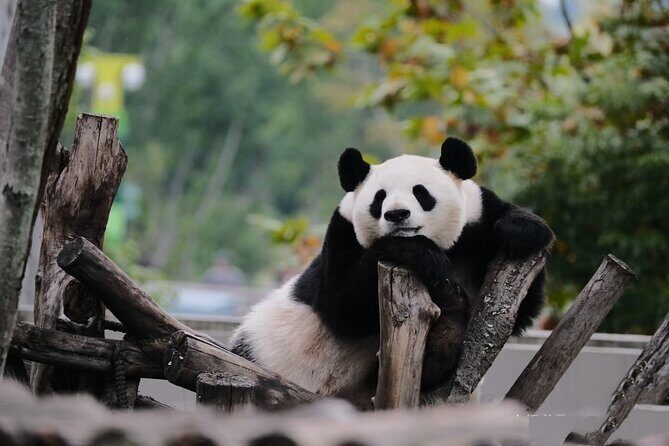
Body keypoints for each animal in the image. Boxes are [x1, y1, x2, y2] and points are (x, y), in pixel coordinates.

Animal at [231, 137, 553, 409]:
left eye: (421, 193)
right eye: (379, 198)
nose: (397, 214)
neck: (449, 250)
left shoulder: (475, 231)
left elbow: (518, 312)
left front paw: (522, 229)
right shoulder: (341, 236)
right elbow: (345, 308)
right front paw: (419, 254)